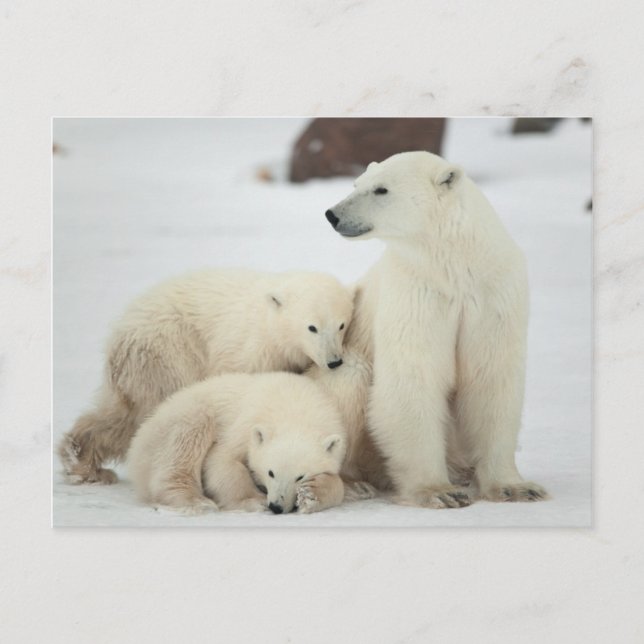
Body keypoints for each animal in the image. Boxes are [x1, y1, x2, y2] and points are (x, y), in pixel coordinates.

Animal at [59, 269, 353, 486]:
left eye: (341, 325)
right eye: (312, 327)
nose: (334, 361)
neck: (270, 327)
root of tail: (119, 334)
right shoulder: (245, 351)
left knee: (120, 415)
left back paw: (82, 461)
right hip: (167, 352)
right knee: (147, 411)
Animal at [127, 372, 348, 515]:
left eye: (300, 476)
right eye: (270, 472)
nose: (276, 507)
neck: (295, 407)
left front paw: (311, 496)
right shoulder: (245, 424)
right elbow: (222, 461)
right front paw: (254, 501)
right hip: (178, 421)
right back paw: (197, 501)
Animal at [324, 151, 548, 508]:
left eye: (381, 189)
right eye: (356, 183)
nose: (332, 214)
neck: (454, 263)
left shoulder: (493, 293)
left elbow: (490, 378)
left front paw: (516, 488)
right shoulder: (417, 291)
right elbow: (415, 376)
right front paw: (439, 491)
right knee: (350, 379)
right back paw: (353, 484)